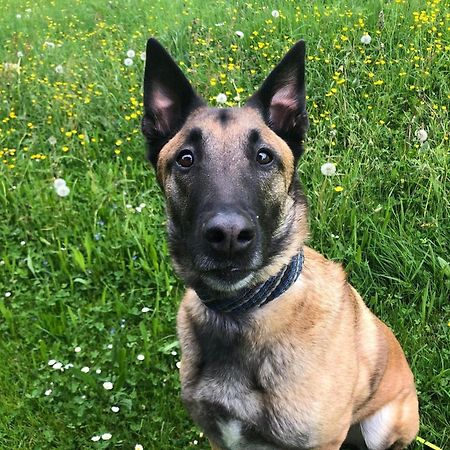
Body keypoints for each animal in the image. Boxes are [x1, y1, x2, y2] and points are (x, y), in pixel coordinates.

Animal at [141, 37, 418, 450]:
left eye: (264, 157)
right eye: (186, 159)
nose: (228, 236)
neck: (240, 310)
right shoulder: (219, 438)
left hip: (382, 425)